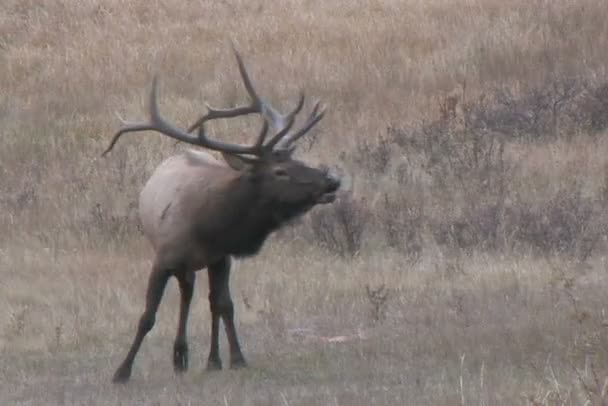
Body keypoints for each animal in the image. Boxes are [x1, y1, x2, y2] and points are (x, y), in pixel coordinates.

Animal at [101, 46, 340, 382]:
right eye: (279, 171)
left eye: (298, 161)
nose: (332, 181)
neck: (207, 227)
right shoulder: (163, 258)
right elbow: (147, 316)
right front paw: (122, 371)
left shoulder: (221, 256)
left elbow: (225, 305)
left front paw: (236, 358)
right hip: (181, 261)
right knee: (187, 293)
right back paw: (181, 356)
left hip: (207, 264)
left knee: (205, 299)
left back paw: (204, 358)